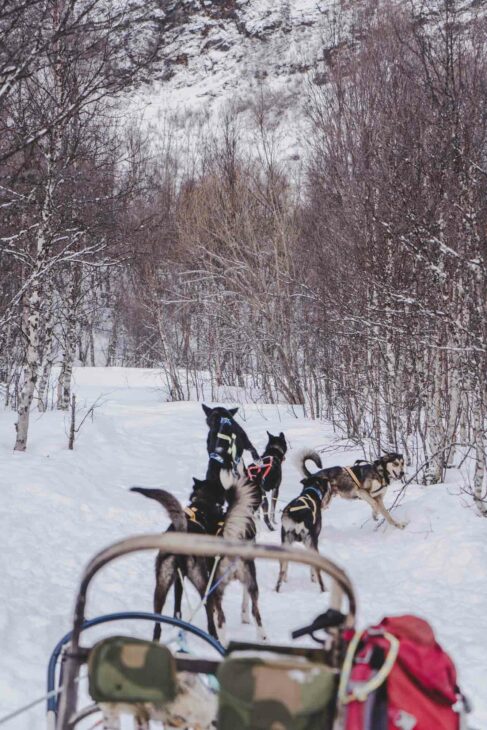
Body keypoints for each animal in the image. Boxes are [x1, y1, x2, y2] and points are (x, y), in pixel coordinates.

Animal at [132, 478, 227, 636]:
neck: (201, 504)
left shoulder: (178, 580)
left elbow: (177, 605)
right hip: (200, 580)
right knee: (209, 618)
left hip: (161, 585)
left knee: (158, 626)